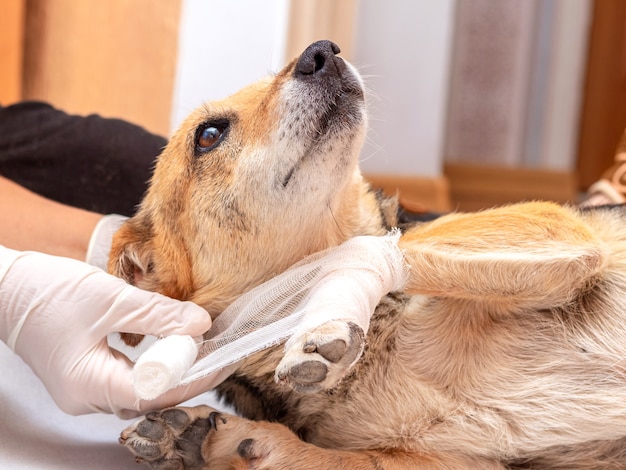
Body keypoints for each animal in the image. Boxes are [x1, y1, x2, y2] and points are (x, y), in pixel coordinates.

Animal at [109, 41, 624, 470]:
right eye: (209, 134)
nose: (322, 51)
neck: (383, 338)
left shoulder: (558, 227)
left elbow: (363, 253)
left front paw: (321, 323)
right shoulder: (446, 462)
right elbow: (318, 455)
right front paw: (208, 440)